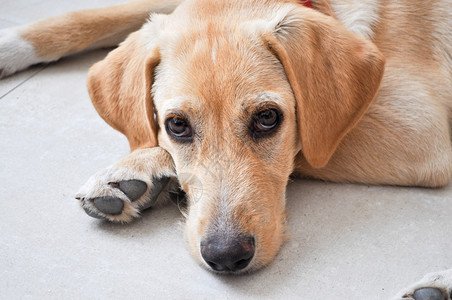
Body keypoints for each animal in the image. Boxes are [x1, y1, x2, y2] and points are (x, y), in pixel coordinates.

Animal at [0, 0, 452, 298]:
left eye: (268, 118)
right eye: (177, 125)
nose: (226, 256)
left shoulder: (421, 130)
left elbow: (308, 148)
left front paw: (140, 168)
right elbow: (109, 12)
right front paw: (12, 43)